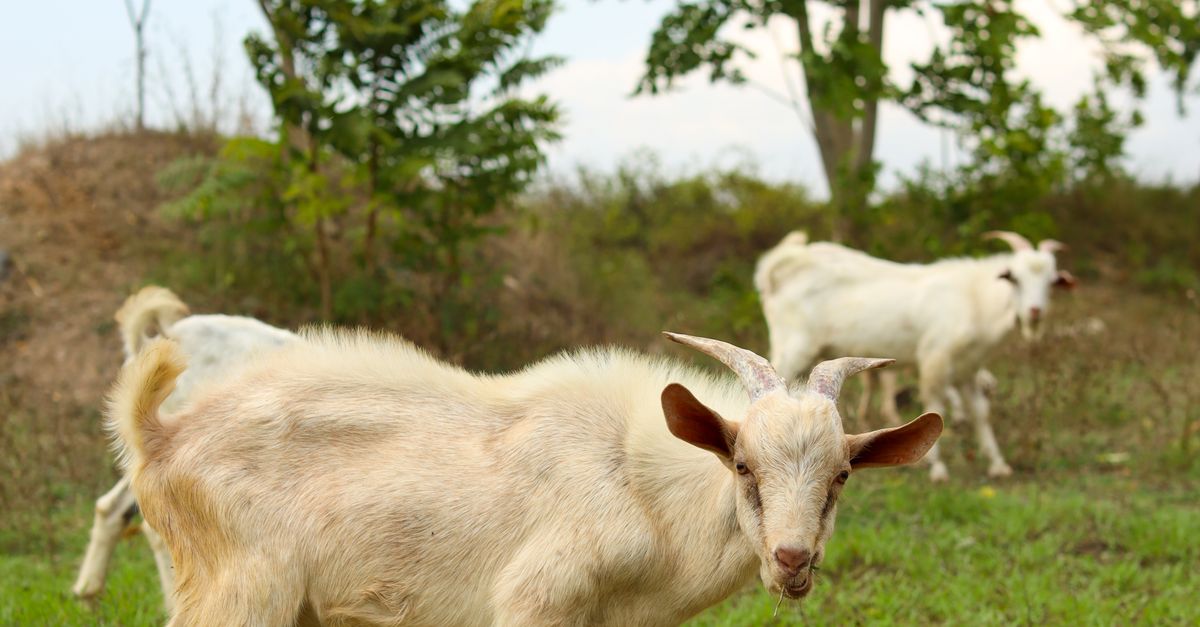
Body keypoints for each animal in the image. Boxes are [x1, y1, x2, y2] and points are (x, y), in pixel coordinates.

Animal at [108, 330, 941, 625]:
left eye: (842, 474)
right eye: (742, 464)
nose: (793, 559)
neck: (644, 492)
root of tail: (159, 434)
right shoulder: (535, 599)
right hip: (241, 592)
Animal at [755, 231, 1075, 481]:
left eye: (1051, 282)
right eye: (1014, 279)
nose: (1035, 311)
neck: (974, 299)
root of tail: (783, 264)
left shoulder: (967, 369)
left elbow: (980, 412)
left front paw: (998, 464)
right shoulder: (936, 358)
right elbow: (936, 407)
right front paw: (937, 468)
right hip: (793, 346)